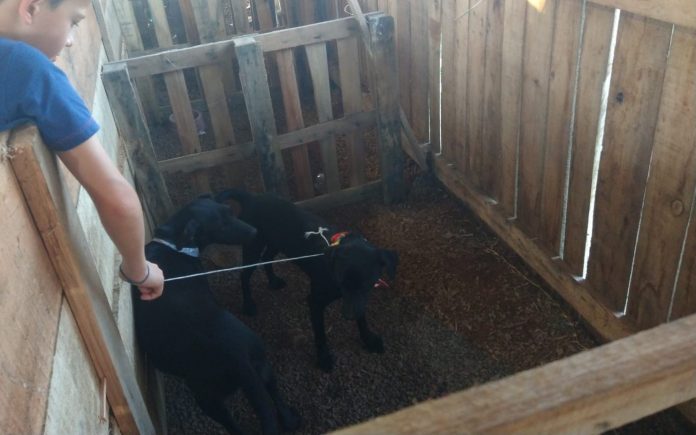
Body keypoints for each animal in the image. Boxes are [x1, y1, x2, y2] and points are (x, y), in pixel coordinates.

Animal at [131, 195, 301, 434]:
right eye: (221, 225)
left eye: (229, 211)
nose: (254, 231)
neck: (173, 243)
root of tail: (237, 356)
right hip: (258, 367)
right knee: (273, 396)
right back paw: (290, 420)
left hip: (210, 397)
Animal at [216, 189, 398, 372]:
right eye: (341, 282)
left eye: (367, 285)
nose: (348, 316)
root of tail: (251, 198)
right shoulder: (315, 302)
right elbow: (320, 334)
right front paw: (324, 358)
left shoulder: (360, 300)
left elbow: (362, 318)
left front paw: (369, 340)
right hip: (253, 246)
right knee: (244, 275)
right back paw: (248, 305)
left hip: (276, 243)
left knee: (267, 258)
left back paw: (273, 282)